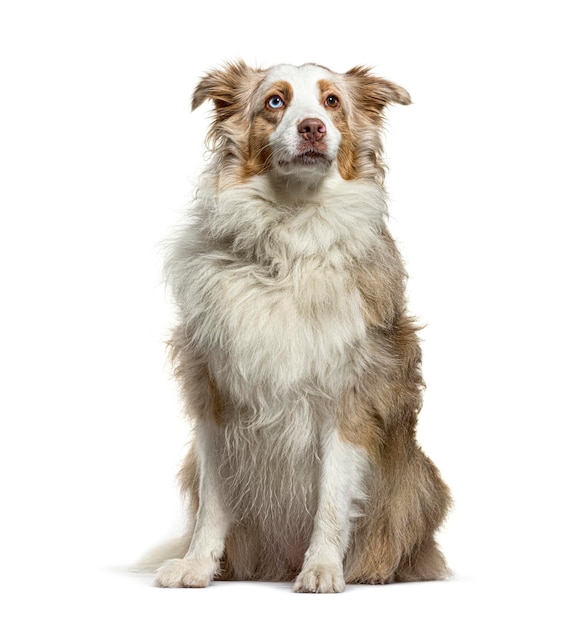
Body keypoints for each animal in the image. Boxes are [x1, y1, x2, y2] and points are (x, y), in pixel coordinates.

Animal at [153, 59, 454, 588]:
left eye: (332, 101)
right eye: (275, 101)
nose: (312, 127)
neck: (290, 232)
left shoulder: (348, 395)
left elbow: (332, 497)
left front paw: (322, 569)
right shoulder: (215, 392)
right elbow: (214, 497)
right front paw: (197, 564)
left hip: (418, 484)